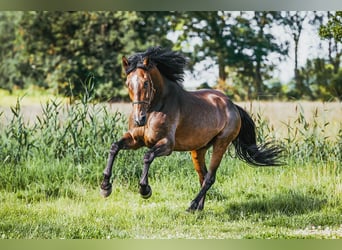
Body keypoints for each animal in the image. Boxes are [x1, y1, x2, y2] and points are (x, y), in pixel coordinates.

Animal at [99, 46, 284, 211]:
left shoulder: (167, 145)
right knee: (202, 175)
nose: (139, 119)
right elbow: (114, 147)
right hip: (198, 149)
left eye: (145, 83)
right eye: (128, 83)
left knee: (209, 177)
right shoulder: (135, 139)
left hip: (221, 144)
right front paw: (105, 187)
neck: (155, 108)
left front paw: (145, 190)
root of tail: (232, 105)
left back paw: (192, 206)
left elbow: (147, 156)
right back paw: (199, 208)